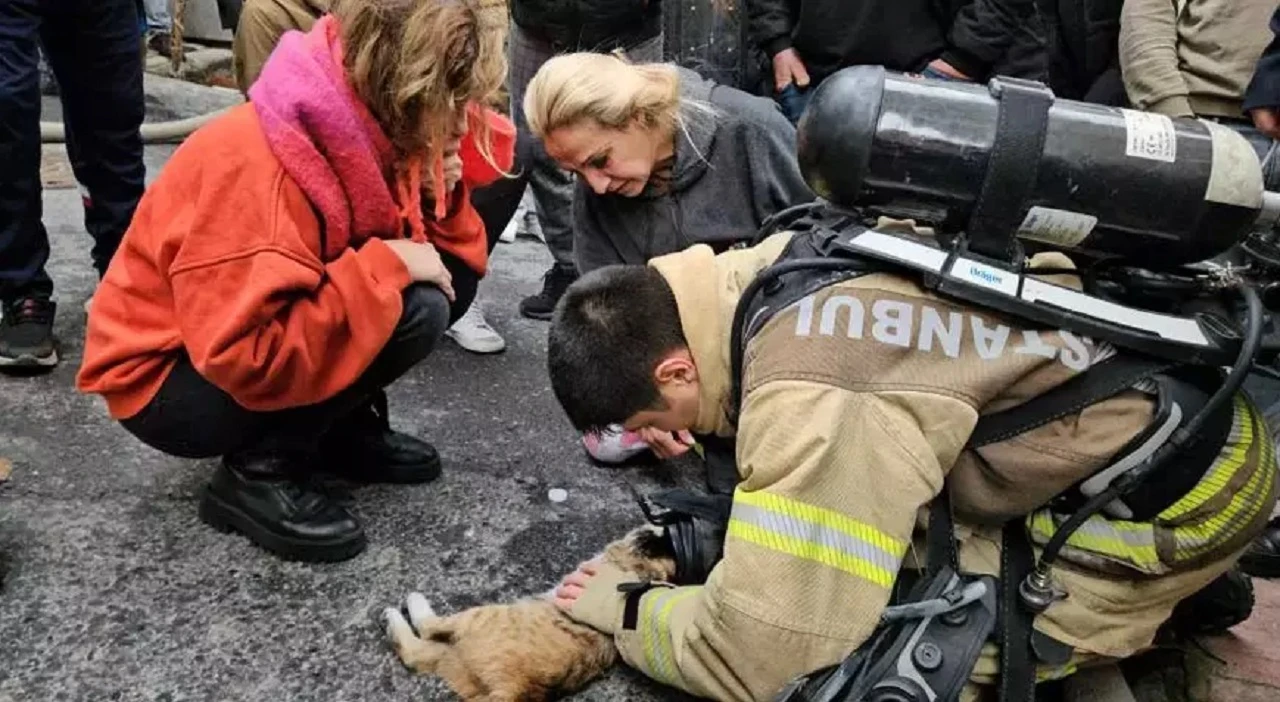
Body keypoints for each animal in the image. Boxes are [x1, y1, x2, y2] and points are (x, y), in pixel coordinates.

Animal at [381, 527, 675, 702]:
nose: (653, 529)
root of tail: (519, 688)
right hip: (453, 662)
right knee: (414, 653)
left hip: (478, 617)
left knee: (428, 627)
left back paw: (402, 606)